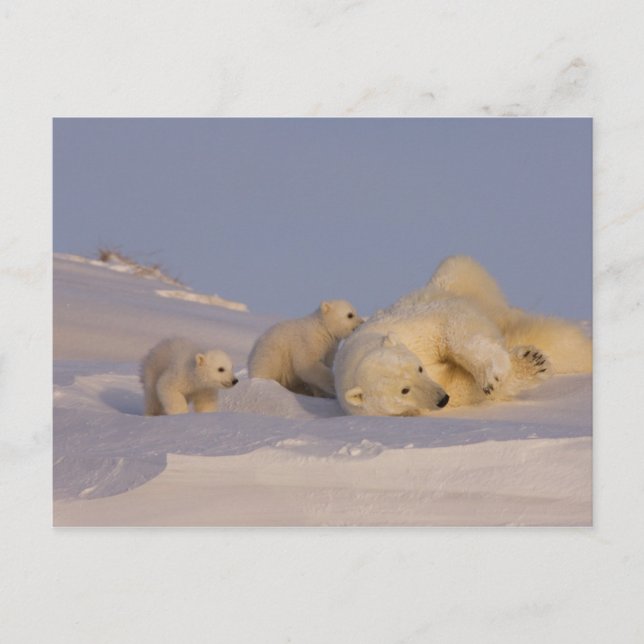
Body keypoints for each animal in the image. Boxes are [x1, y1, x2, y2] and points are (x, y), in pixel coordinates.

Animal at [333, 255, 591, 416]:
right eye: (404, 390)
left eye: (419, 368)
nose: (441, 399)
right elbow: (462, 386)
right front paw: (531, 363)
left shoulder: (409, 328)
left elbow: (451, 325)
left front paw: (494, 374)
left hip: (462, 281)